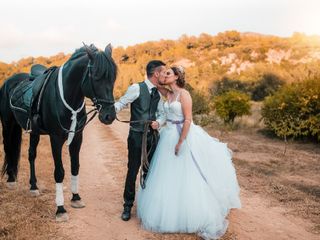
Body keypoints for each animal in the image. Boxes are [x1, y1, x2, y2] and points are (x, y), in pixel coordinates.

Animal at [0, 43, 117, 221]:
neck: (68, 97)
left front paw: (76, 197)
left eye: (113, 78)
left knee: (31, 155)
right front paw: (60, 209)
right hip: (8, 124)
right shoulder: (55, 138)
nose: (109, 116)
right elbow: (59, 172)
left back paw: (33, 186)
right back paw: (12, 179)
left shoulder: (77, 137)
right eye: (97, 77)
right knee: (8, 149)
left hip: (33, 131)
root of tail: (9, 81)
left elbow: (75, 166)